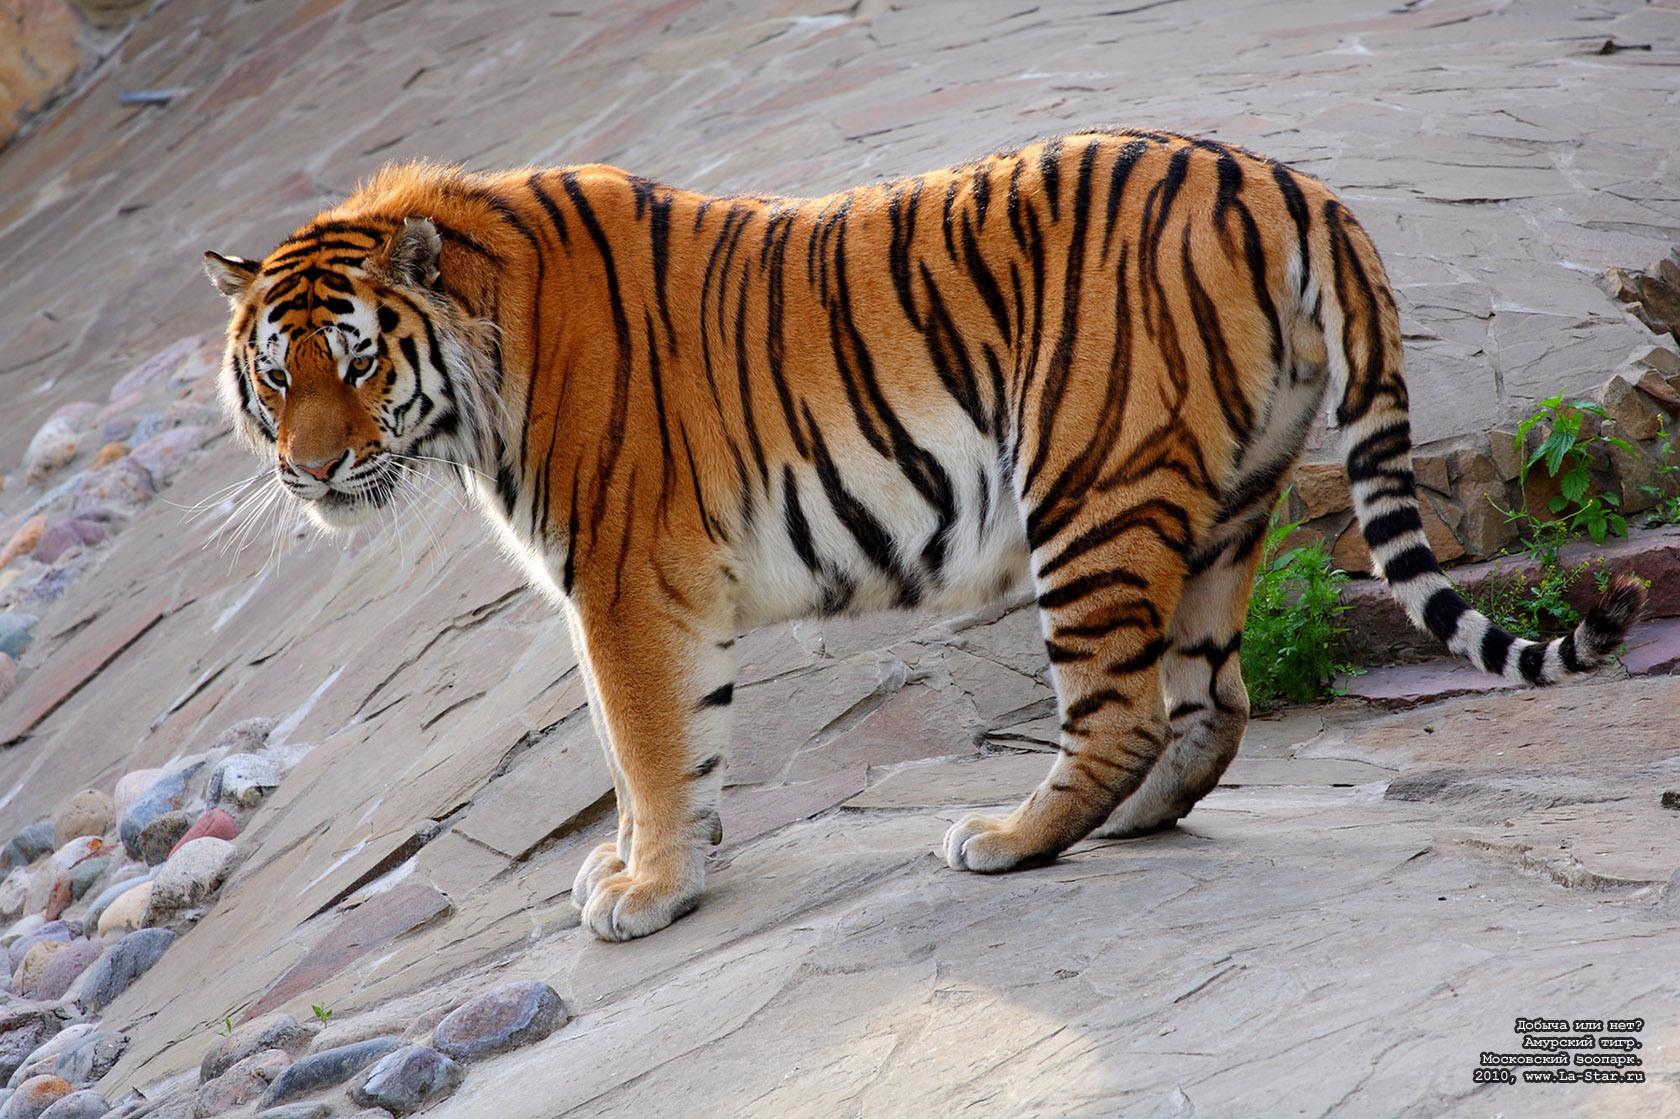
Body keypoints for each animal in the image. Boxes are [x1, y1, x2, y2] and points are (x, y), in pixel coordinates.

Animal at [204, 128, 1645, 942]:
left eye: (355, 362)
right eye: (276, 374)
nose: (308, 468)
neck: (476, 375)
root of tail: (1289, 186)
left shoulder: (624, 584)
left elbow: (650, 745)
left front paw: (646, 891)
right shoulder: (629, 594)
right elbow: (653, 753)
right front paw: (650, 867)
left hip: (1089, 490)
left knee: (1120, 710)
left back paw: (1009, 838)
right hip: (1226, 503)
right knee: (1211, 702)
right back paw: (1130, 824)